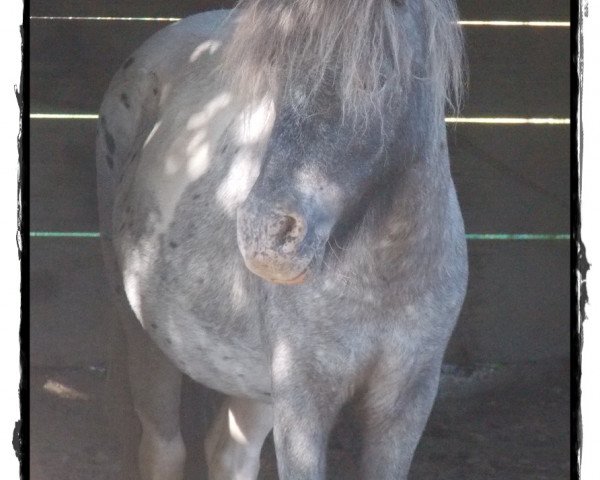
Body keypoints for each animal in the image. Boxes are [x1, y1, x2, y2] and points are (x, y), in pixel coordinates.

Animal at [95, 1, 468, 478]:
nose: (263, 233)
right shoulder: (302, 400)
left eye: (373, 79)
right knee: (163, 449)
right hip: (144, 331)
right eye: (274, 78)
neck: (386, 276)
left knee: (229, 453)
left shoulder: (406, 403)